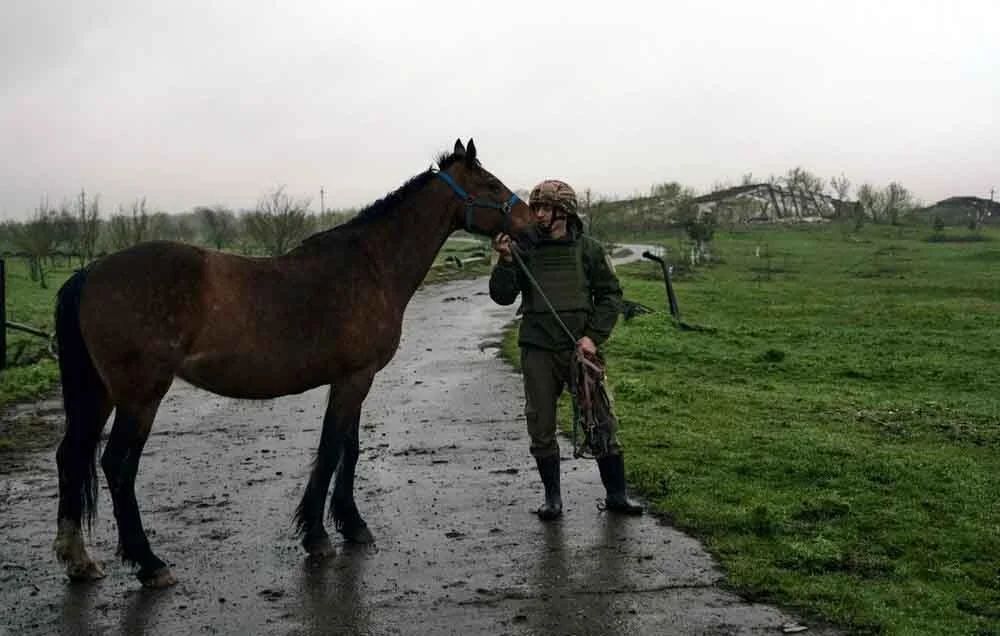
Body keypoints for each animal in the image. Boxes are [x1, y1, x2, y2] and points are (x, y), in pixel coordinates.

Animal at [52, 139, 540, 588]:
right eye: (491, 184)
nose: (534, 227)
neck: (372, 265)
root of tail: (88, 274)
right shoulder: (353, 379)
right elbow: (330, 451)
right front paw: (318, 536)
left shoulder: (356, 379)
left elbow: (349, 449)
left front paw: (352, 525)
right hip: (141, 396)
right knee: (117, 466)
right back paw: (150, 563)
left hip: (100, 394)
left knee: (71, 456)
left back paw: (79, 560)